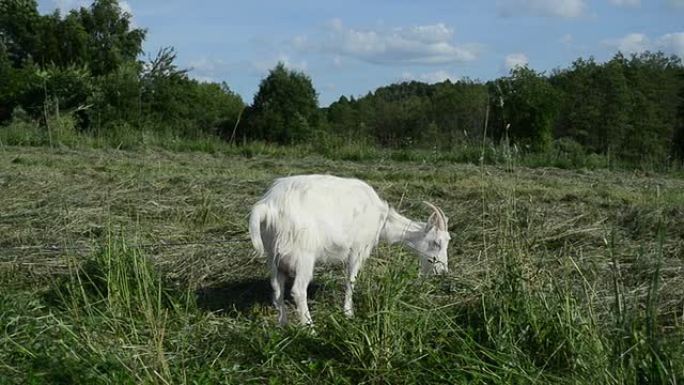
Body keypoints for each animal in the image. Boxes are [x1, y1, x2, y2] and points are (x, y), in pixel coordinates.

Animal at [248, 174, 452, 324]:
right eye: (437, 242)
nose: (443, 271)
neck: (381, 218)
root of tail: (268, 205)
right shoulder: (358, 249)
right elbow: (351, 280)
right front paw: (348, 313)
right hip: (303, 255)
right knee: (298, 290)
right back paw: (310, 328)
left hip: (273, 254)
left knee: (277, 287)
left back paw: (283, 325)